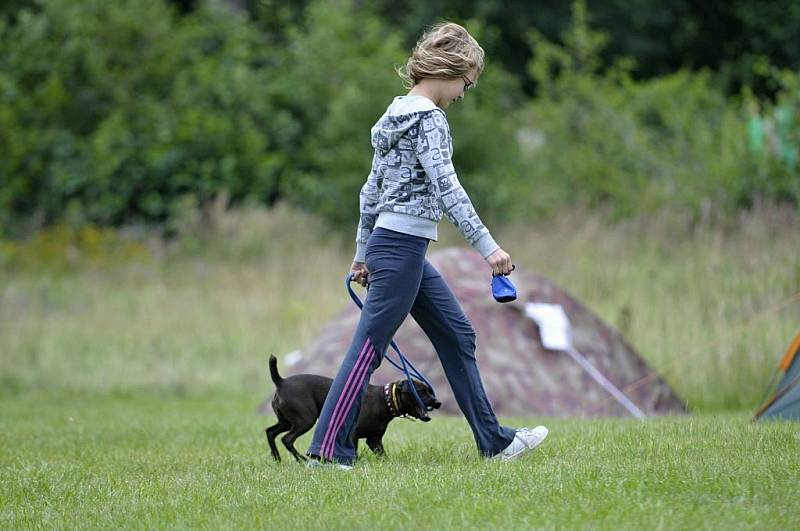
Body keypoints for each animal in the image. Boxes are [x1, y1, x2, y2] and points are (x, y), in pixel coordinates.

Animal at [268, 356, 444, 464]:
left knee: (270, 432)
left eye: (430, 391)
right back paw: (301, 460)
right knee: (287, 439)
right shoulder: (353, 435)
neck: (385, 400)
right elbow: (354, 452)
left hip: (287, 421)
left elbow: (383, 456)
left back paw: (277, 458)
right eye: (421, 392)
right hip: (305, 420)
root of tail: (281, 382)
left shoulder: (375, 440)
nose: (438, 402)